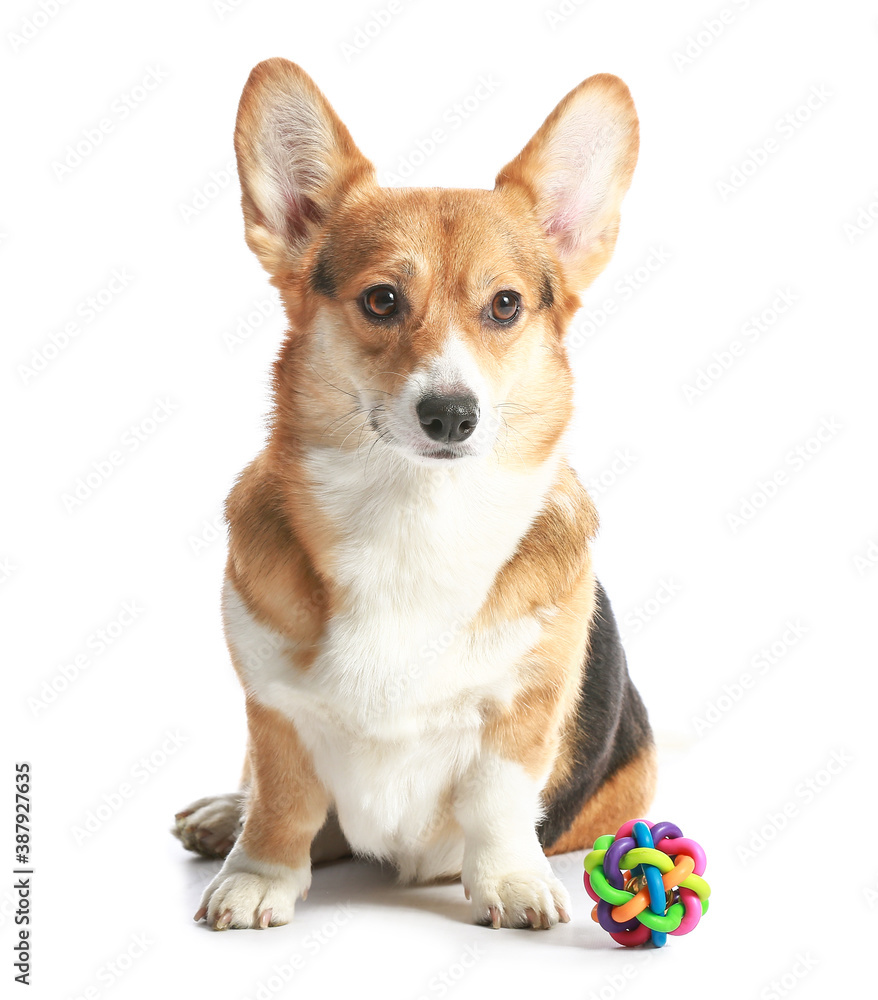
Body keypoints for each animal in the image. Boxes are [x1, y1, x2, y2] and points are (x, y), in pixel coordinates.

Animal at [174, 56, 652, 928]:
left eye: (505, 304)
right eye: (381, 300)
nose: (452, 414)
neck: (414, 514)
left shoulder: (522, 709)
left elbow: (496, 799)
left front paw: (511, 883)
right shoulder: (273, 706)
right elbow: (282, 797)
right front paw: (257, 874)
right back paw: (226, 813)